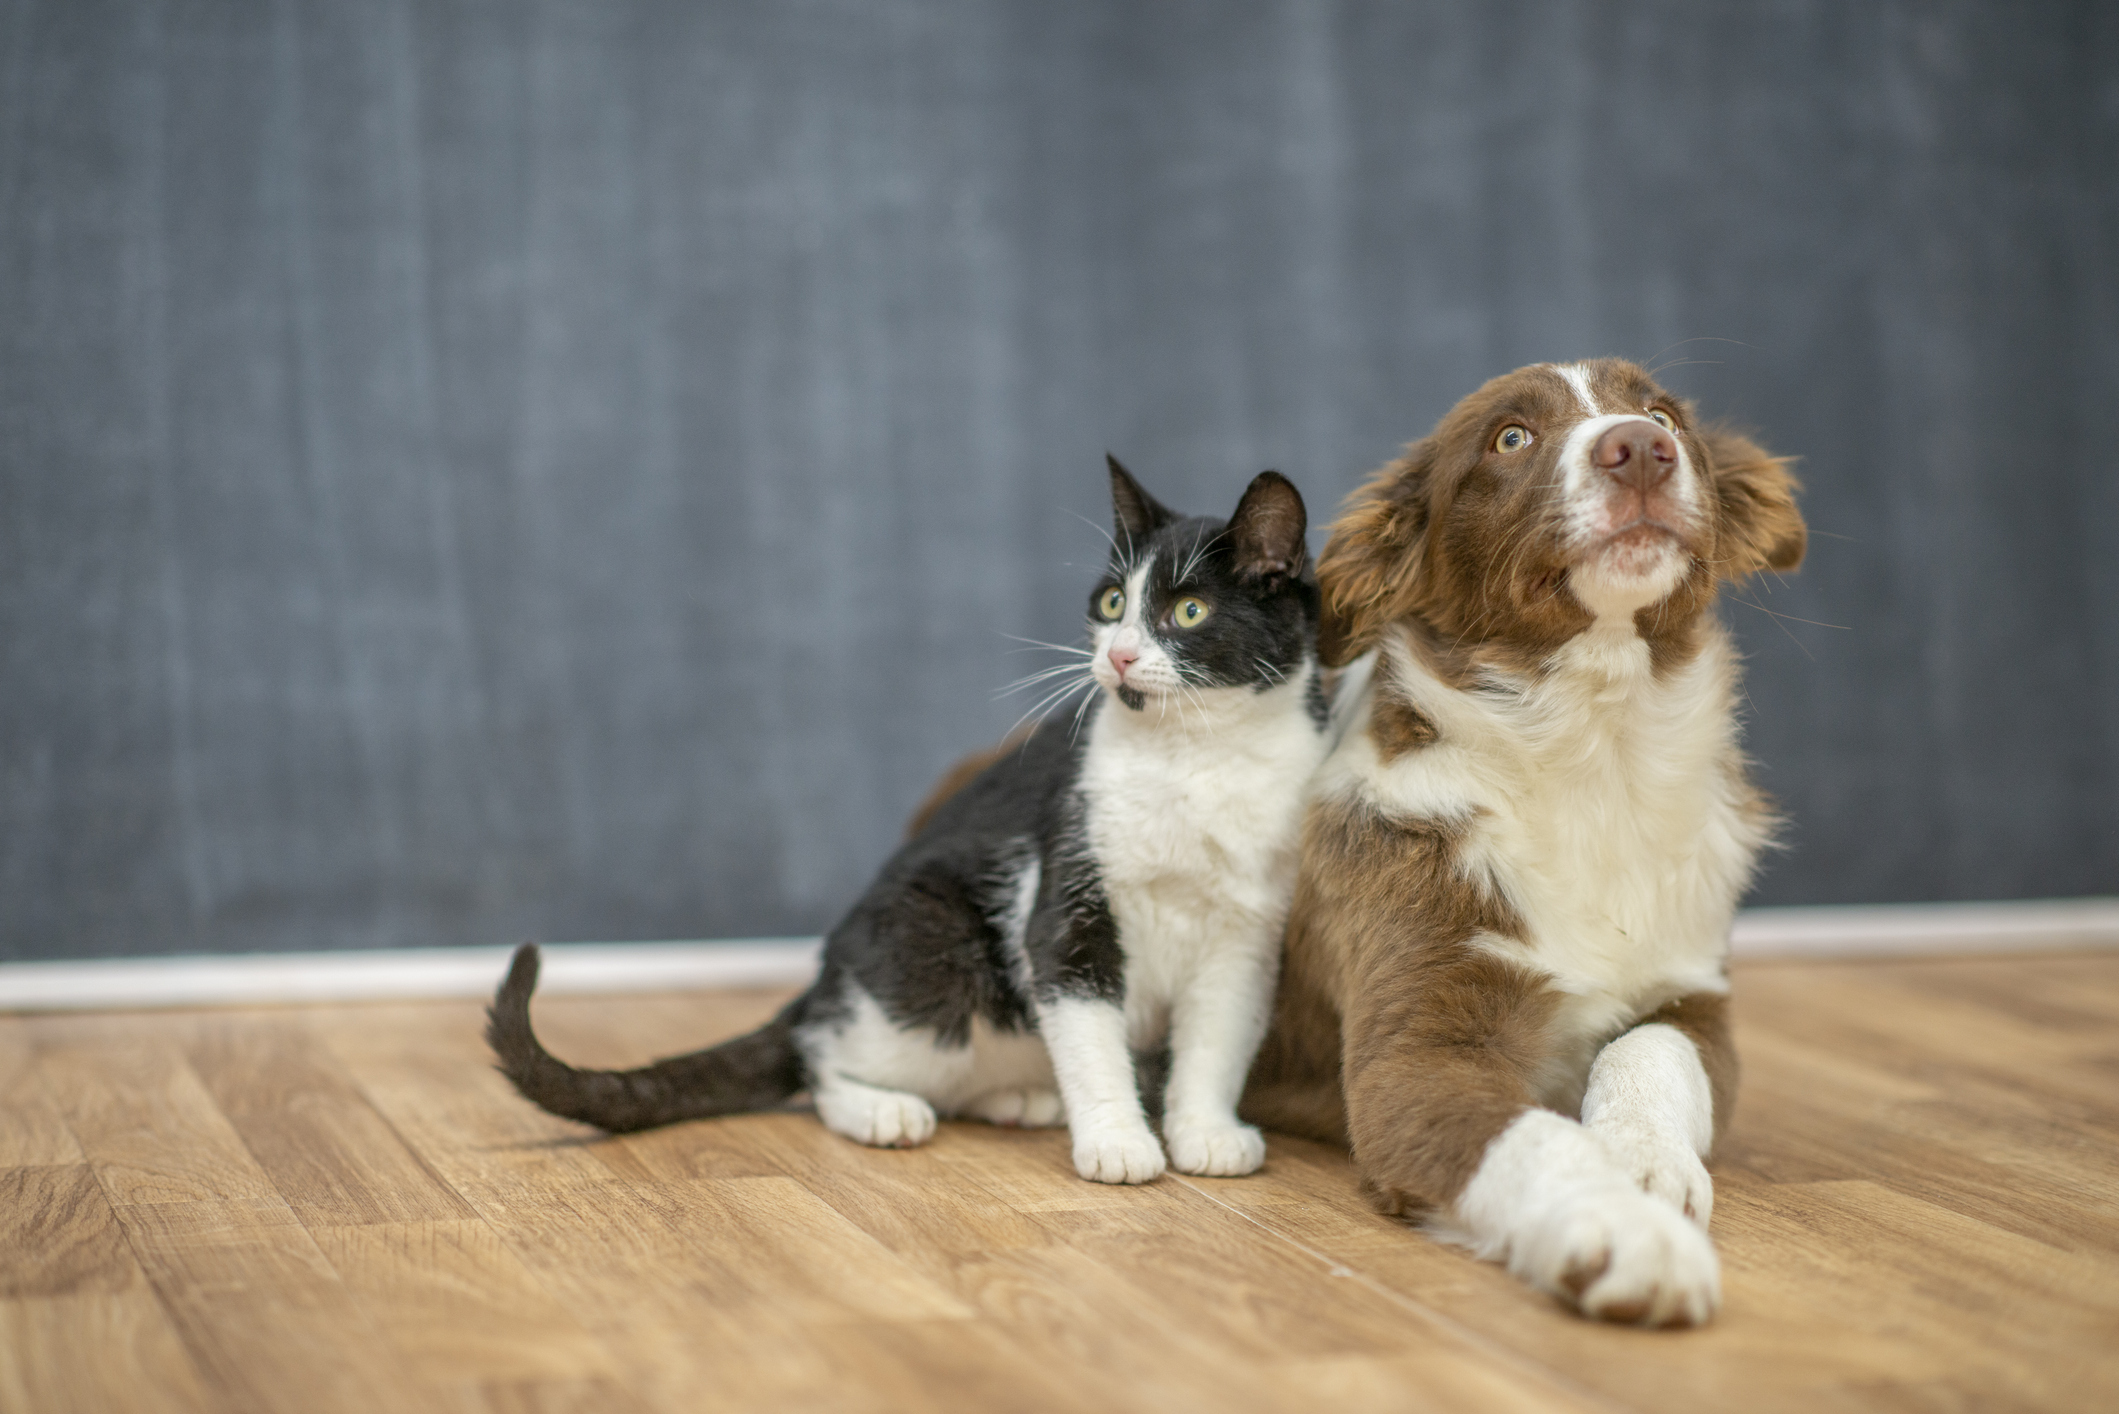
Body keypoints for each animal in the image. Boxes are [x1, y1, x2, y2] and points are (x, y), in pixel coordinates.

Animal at [487, 455, 1330, 1187]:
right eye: (1113, 603)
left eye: (1188, 611)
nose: (1118, 656)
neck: (1195, 757)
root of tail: (825, 976)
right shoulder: (1066, 892)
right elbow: (1088, 1030)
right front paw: (1118, 1143)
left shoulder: (1247, 933)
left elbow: (1217, 1038)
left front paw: (1205, 1133)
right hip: (932, 951)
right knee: (821, 1055)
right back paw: (882, 1111)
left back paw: (1019, 1097)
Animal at [1237, 354, 1805, 1331]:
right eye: (1510, 438)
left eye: (1663, 414)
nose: (1639, 449)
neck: (1589, 752)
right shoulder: (1414, 1056)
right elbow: (1529, 1138)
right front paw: (1625, 1231)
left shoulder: (1695, 1001)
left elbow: (1646, 1053)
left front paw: (1643, 1160)